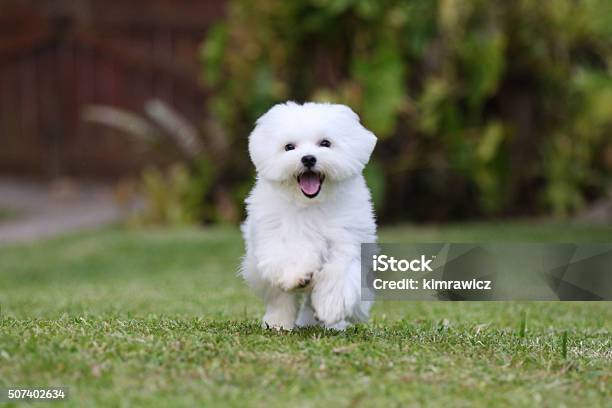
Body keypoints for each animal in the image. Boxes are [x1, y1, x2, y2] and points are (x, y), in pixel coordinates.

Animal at [240, 100, 378, 330]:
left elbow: (340, 270)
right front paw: (299, 274)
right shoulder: (275, 235)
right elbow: (289, 253)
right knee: (279, 299)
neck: (311, 204)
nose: (308, 158)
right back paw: (278, 322)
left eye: (325, 143)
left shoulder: (347, 237)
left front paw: (332, 306)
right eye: (289, 147)